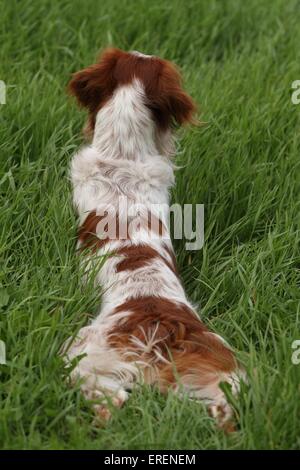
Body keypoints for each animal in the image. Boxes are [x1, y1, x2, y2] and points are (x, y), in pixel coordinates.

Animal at [63, 47, 244, 430]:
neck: (122, 156)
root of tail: (160, 327)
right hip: (219, 353)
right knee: (226, 398)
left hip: (83, 344)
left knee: (105, 394)